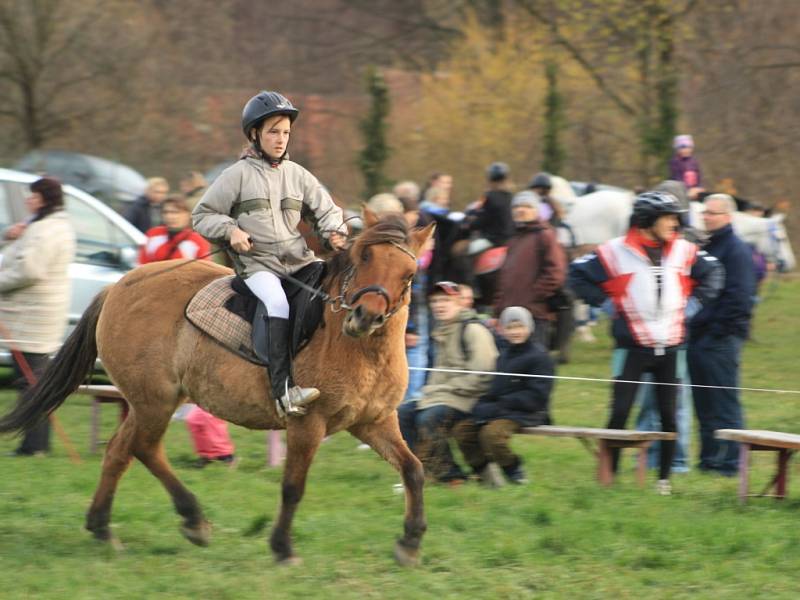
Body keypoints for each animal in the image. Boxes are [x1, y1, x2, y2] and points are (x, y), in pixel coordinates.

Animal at [0, 212, 434, 568]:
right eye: (364, 256)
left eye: (409, 274)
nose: (364, 317)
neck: (358, 348)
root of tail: (120, 286)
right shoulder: (307, 425)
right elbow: (293, 487)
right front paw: (282, 548)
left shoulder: (374, 422)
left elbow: (413, 470)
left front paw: (410, 543)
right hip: (155, 400)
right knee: (143, 448)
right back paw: (192, 519)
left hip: (149, 402)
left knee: (121, 451)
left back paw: (104, 527)